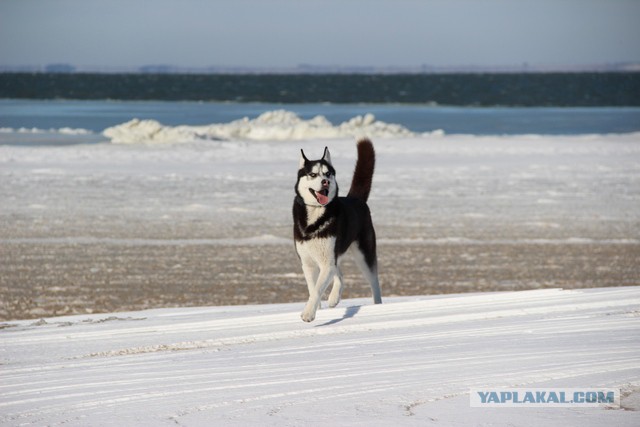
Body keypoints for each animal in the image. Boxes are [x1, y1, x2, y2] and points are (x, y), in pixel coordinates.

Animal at [294, 139, 380, 322]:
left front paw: (308, 313)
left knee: (374, 282)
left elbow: (317, 289)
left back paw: (378, 303)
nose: (325, 182)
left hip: (363, 253)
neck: (315, 217)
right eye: (313, 174)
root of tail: (356, 199)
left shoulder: (327, 261)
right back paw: (334, 298)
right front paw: (316, 307)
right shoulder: (308, 262)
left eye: (328, 174)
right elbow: (313, 288)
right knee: (340, 275)